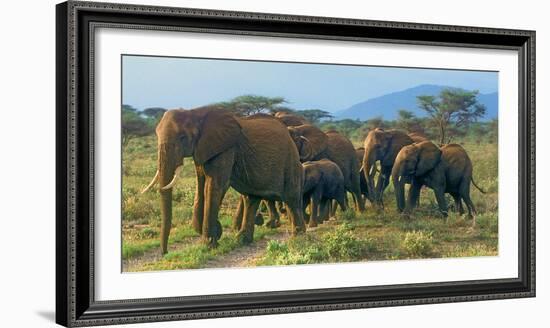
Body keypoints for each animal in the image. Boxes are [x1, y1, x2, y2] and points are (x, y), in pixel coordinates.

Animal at [142, 107, 306, 254]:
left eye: (182, 137)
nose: (164, 253)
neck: (195, 113)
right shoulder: (202, 150)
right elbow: (200, 186)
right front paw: (214, 233)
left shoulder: (226, 149)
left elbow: (215, 186)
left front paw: (209, 244)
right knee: (251, 199)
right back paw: (242, 239)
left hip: (291, 161)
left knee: (291, 198)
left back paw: (298, 237)